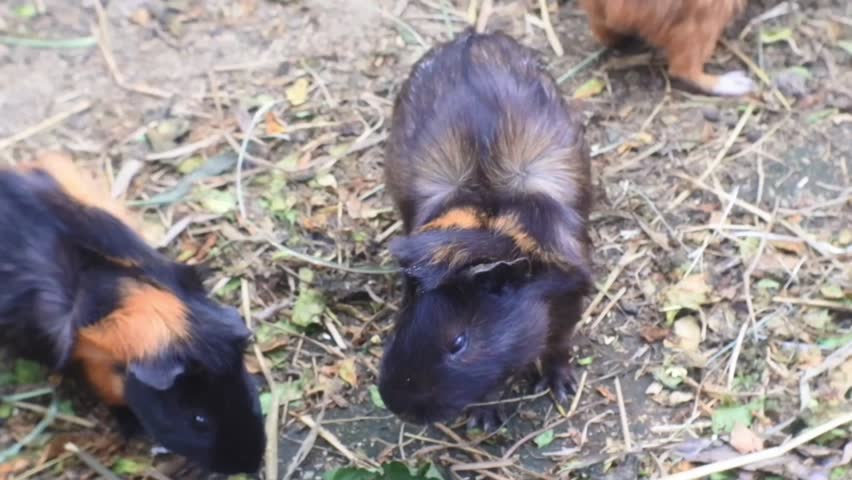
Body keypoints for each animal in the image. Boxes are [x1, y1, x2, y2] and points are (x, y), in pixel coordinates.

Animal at [378, 30, 593, 428]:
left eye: (458, 342)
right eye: (403, 322)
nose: (397, 405)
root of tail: (473, 37)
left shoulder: (570, 298)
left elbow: (558, 347)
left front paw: (561, 389)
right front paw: (484, 420)